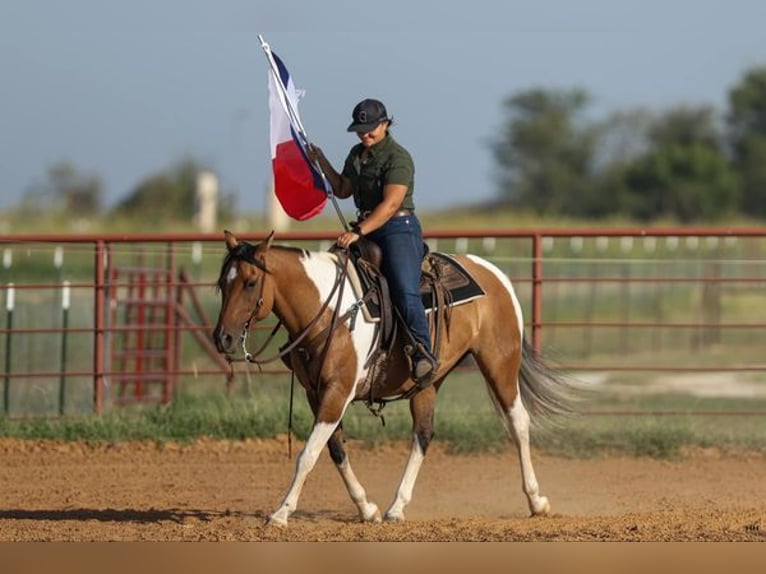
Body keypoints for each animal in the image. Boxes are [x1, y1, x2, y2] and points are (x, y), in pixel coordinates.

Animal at [213, 230, 572, 528]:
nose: (223, 339)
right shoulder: (316, 394)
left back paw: (536, 500)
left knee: (518, 422)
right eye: (222, 284)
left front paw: (281, 513)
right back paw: (396, 507)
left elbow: (308, 455)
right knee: (423, 435)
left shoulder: (337, 393)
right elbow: (336, 451)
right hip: (429, 381)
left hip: (500, 365)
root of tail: (495, 274)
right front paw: (367, 508)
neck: (329, 311)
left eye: (250, 282)